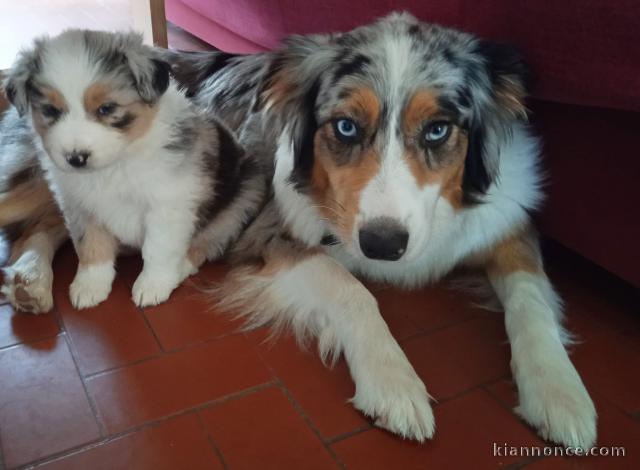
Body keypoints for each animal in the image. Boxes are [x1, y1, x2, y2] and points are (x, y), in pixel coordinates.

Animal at [1, 30, 264, 308]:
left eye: (107, 108)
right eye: (50, 111)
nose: (76, 158)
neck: (115, 163)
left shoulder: (168, 204)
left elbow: (158, 248)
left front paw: (153, 286)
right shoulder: (78, 204)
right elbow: (90, 245)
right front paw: (90, 286)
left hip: (244, 197)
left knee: (208, 241)